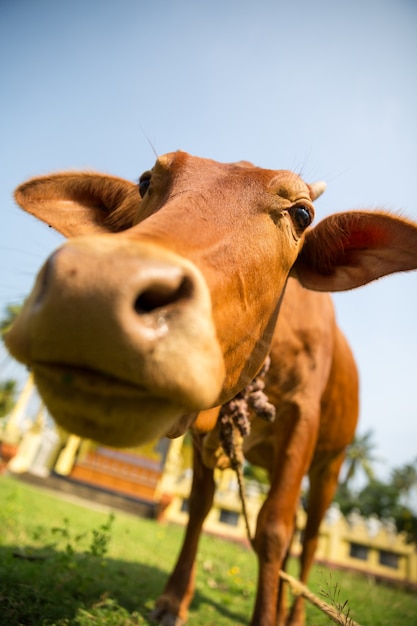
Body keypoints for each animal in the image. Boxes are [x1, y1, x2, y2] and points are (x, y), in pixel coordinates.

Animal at [4, 151, 416, 624]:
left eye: (302, 214)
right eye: (145, 182)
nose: (92, 290)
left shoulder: (303, 419)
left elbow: (274, 528)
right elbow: (200, 505)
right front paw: (172, 599)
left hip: (332, 463)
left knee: (308, 536)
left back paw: (292, 614)